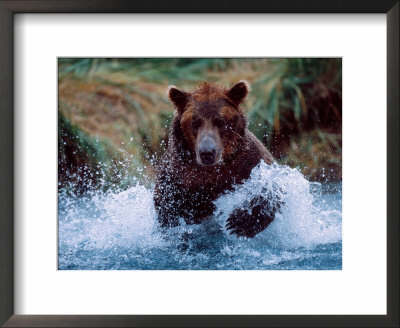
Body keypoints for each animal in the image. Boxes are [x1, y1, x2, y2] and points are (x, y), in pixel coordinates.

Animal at [154, 80, 282, 237]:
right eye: (194, 122)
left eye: (220, 122)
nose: (207, 152)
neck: (212, 171)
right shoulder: (176, 175)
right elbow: (167, 204)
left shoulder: (249, 162)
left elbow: (271, 187)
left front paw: (239, 222)